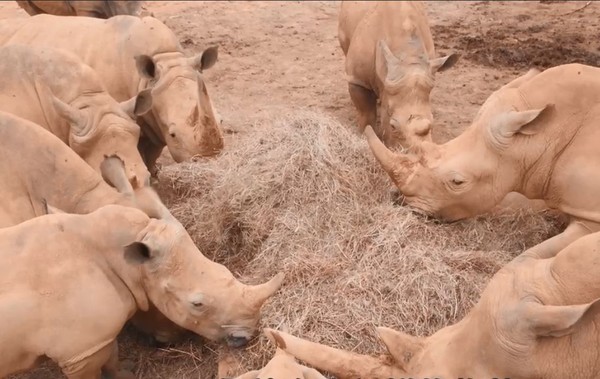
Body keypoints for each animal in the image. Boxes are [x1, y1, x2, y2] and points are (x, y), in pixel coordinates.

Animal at [0, 14, 224, 174]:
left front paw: (154, 175)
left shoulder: (150, 120)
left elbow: (151, 153)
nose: (210, 160)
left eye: (220, 121)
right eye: (173, 134)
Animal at [338, 0, 460, 148]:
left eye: (432, 122)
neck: (407, 56)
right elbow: (367, 115)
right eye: (392, 126)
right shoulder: (358, 79)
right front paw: (363, 137)